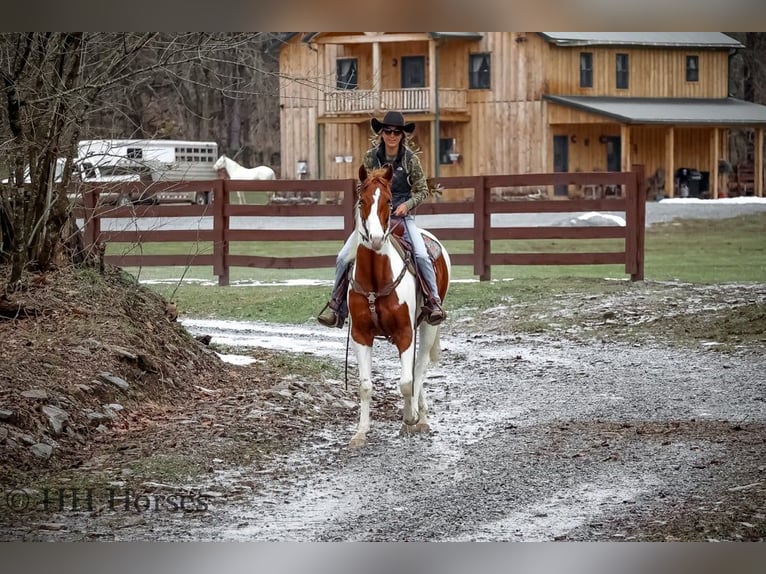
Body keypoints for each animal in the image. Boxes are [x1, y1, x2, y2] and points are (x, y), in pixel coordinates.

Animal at [346, 165, 450, 450]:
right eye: (361, 201)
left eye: (389, 202)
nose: (376, 238)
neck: (376, 279)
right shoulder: (361, 335)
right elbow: (365, 385)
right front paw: (360, 433)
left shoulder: (406, 332)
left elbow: (406, 382)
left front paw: (409, 418)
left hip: (427, 326)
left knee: (420, 367)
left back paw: (419, 418)